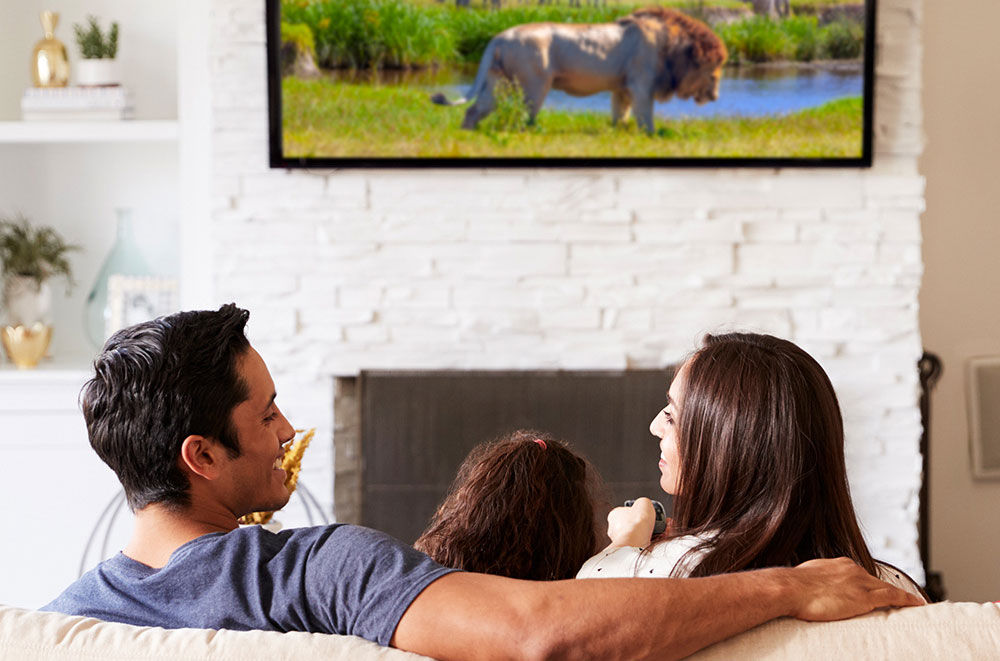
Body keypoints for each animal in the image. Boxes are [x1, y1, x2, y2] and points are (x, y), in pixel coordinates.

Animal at [430, 7, 728, 133]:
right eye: (714, 72)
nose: (715, 97)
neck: (673, 47)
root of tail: (499, 37)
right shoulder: (641, 85)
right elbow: (646, 115)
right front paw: (651, 136)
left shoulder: (622, 88)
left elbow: (620, 112)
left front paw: (618, 132)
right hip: (534, 84)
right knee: (525, 116)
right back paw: (531, 133)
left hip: (498, 83)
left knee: (474, 110)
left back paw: (468, 133)